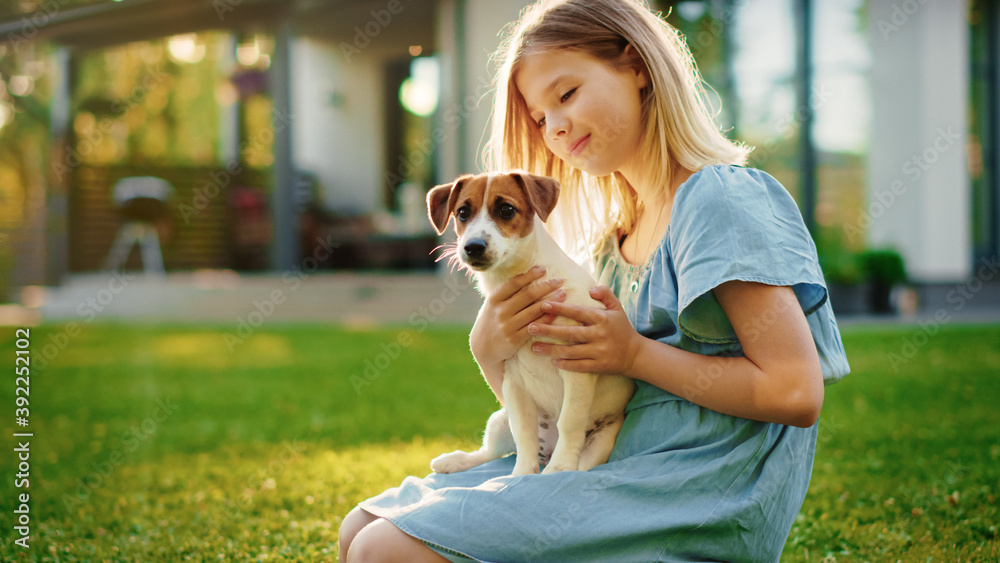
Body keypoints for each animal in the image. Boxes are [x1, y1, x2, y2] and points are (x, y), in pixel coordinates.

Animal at [424, 172, 632, 476]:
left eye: (506, 209)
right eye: (463, 212)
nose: (473, 247)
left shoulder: (578, 369)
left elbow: (570, 421)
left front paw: (559, 467)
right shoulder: (513, 381)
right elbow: (524, 434)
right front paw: (521, 475)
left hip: (602, 441)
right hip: (499, 420)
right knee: (492, 451)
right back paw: (455, 460)